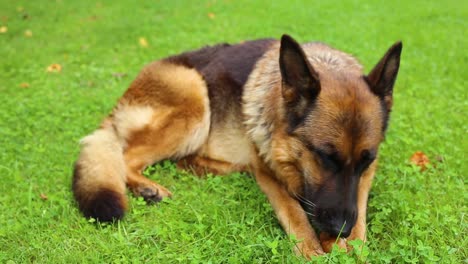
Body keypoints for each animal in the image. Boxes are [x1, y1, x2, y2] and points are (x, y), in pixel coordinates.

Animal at [73, 34, 402, 256]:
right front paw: (312, 247)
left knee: (181, 160)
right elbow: (294, 212)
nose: (340, 228)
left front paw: (349, 242)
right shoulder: (269, 173)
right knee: (126, 156)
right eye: (324, 156)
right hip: (194, 99)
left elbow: (359, 211)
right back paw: (148, 187)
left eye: (366, 161)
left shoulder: (365, 178)